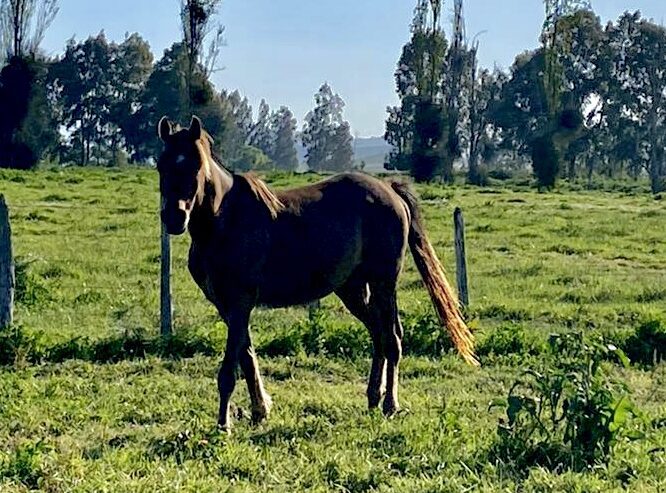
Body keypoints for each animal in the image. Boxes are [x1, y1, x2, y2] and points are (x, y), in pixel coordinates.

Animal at [156, 115, 478, 430]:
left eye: (196, 164)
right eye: (162, 165)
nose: (174, 218)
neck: (225, 220)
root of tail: (390, 190)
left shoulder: (239, 302)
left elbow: (229, 369)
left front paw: (224, 424)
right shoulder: (226, 305)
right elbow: (246, 357)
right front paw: (260, 411)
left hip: (383, 282)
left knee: (391, 338)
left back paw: (390, 404)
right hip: (353, 289)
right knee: (378, 334)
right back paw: (373, 398)